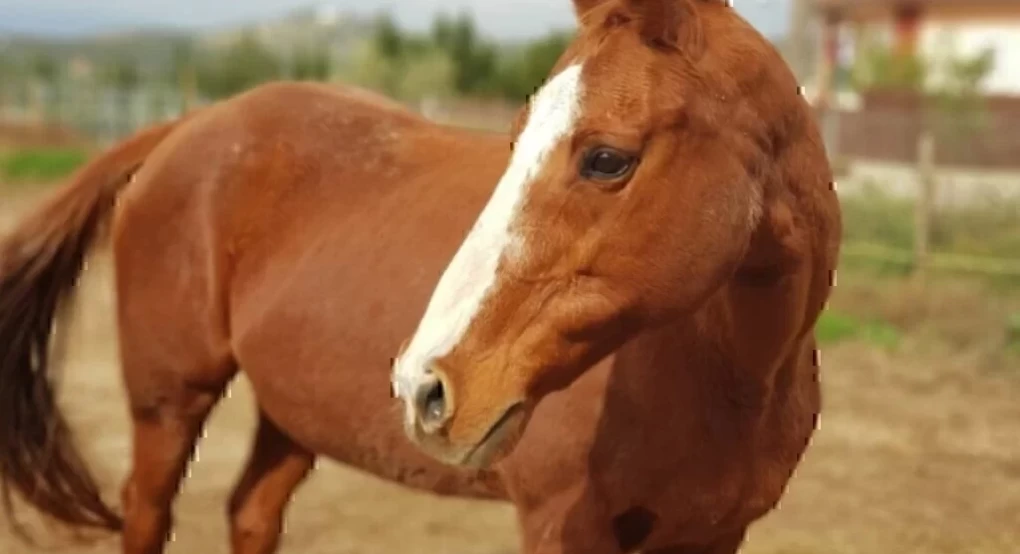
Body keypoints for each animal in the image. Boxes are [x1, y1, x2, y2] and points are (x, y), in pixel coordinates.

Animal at [3, 1, 840, 554]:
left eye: (606, 157)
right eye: (516, 139)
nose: (424, 386)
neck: (727, 379)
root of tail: (188, 126)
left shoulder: (712, 534)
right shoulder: (564, 525)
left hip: (292, 415)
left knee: (251, 512)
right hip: (169, 401)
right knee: (148, 511)